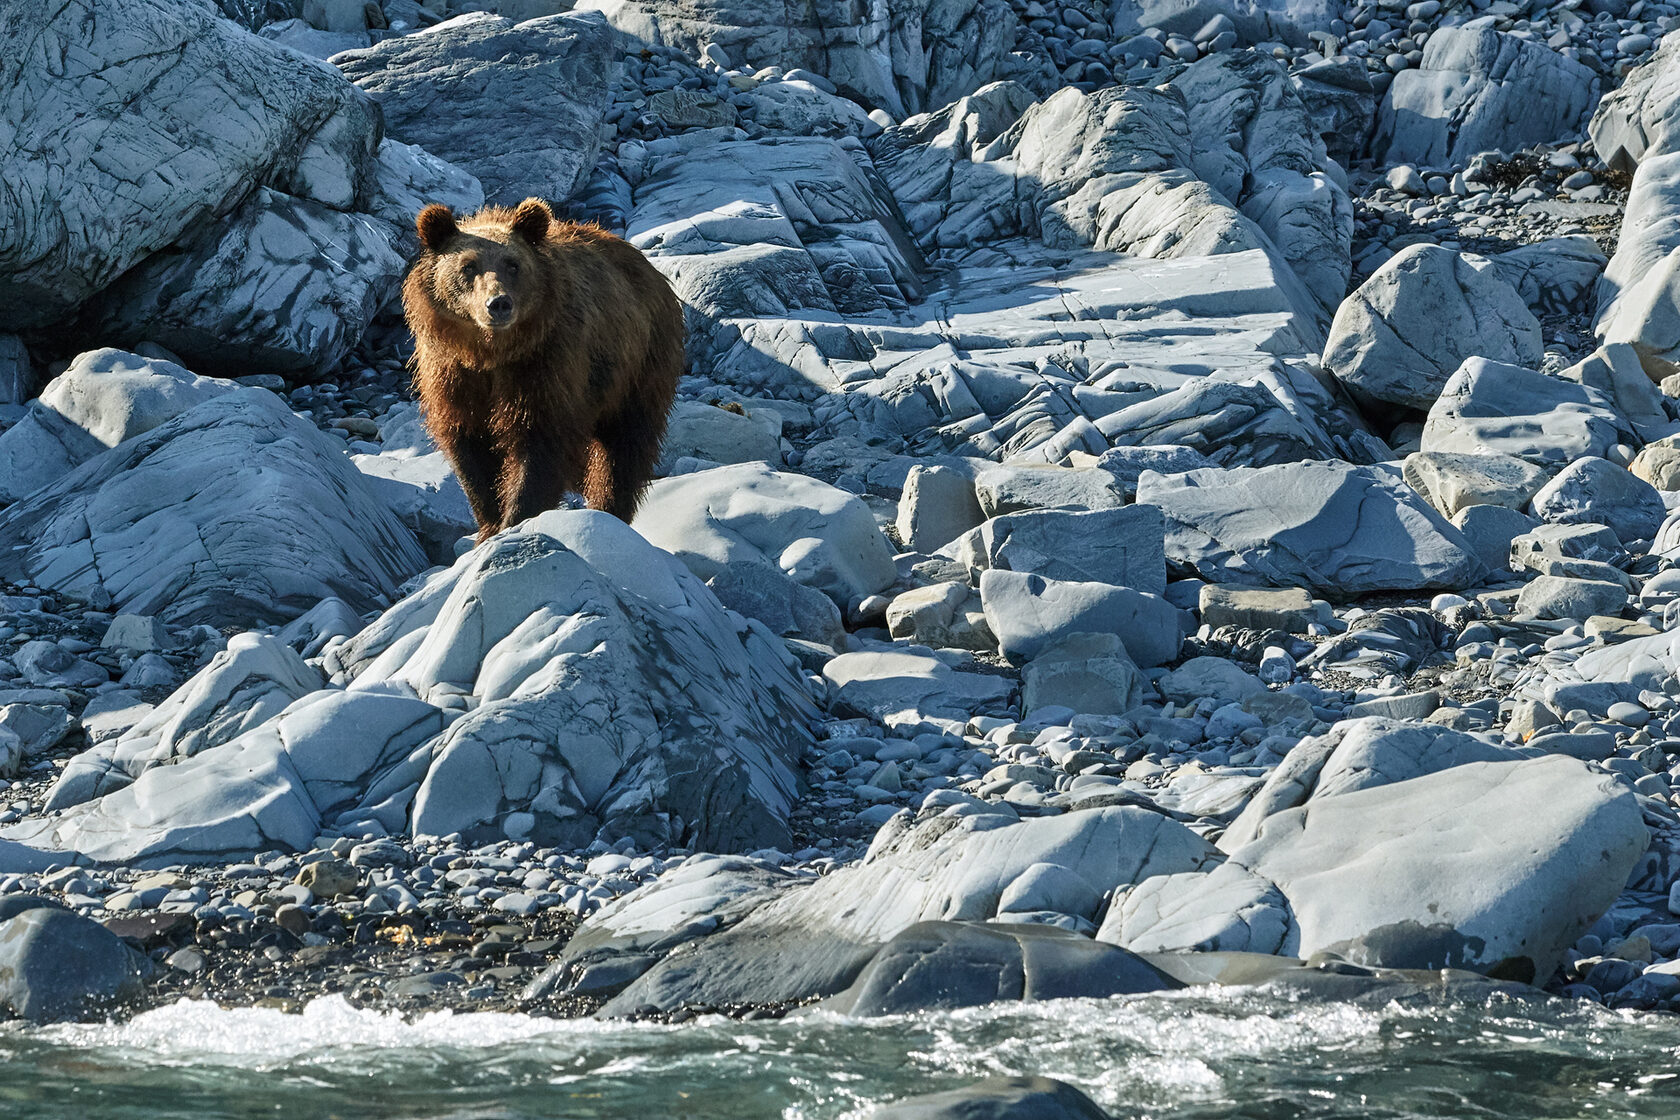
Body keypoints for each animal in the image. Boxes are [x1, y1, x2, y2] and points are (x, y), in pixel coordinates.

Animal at [399, 197, 682, 544]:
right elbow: (469, 448)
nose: (498, 303)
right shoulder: (452, 374)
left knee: (626, 447)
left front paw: (516, 518)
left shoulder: (545, 365)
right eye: (468, 266)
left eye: (513, 264)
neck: (490, 354)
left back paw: (609, 509)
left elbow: (540, 444)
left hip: (640, 363)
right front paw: (489, 524)